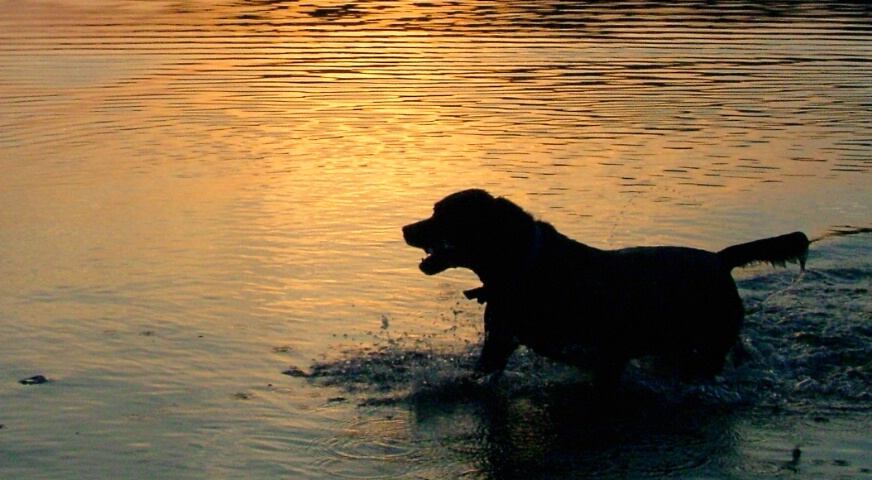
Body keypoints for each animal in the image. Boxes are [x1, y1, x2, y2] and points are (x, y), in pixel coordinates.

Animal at [404, 188, 812, 390]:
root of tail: (719, 259)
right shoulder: (499, 342)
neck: (525, 265)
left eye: (443, 214)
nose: (406, 228)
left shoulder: (604, 352)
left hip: (707, 347)